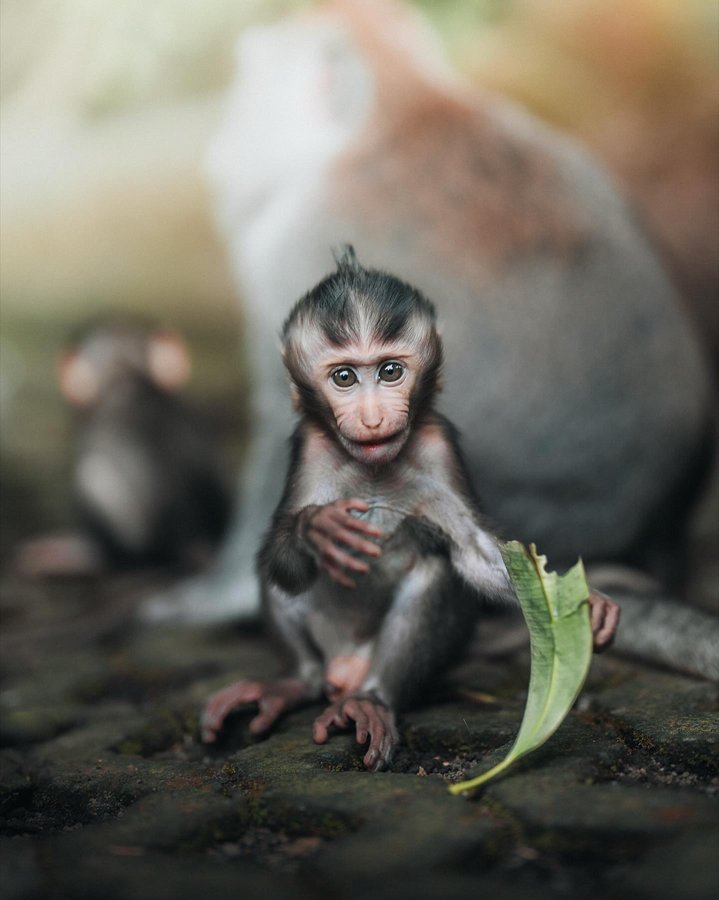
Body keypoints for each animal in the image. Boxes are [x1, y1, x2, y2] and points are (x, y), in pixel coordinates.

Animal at [200, 248, 620, 770]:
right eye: (344, 377)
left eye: (390, 372)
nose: (372, 417)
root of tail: (347, 668)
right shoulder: (310, 448)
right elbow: (279, 556)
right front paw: (317, 529)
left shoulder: (439, 446)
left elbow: (475, 555)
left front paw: (586, 603)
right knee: (286, 597)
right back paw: (293, 683)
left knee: (434, 574)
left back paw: (372, 700)